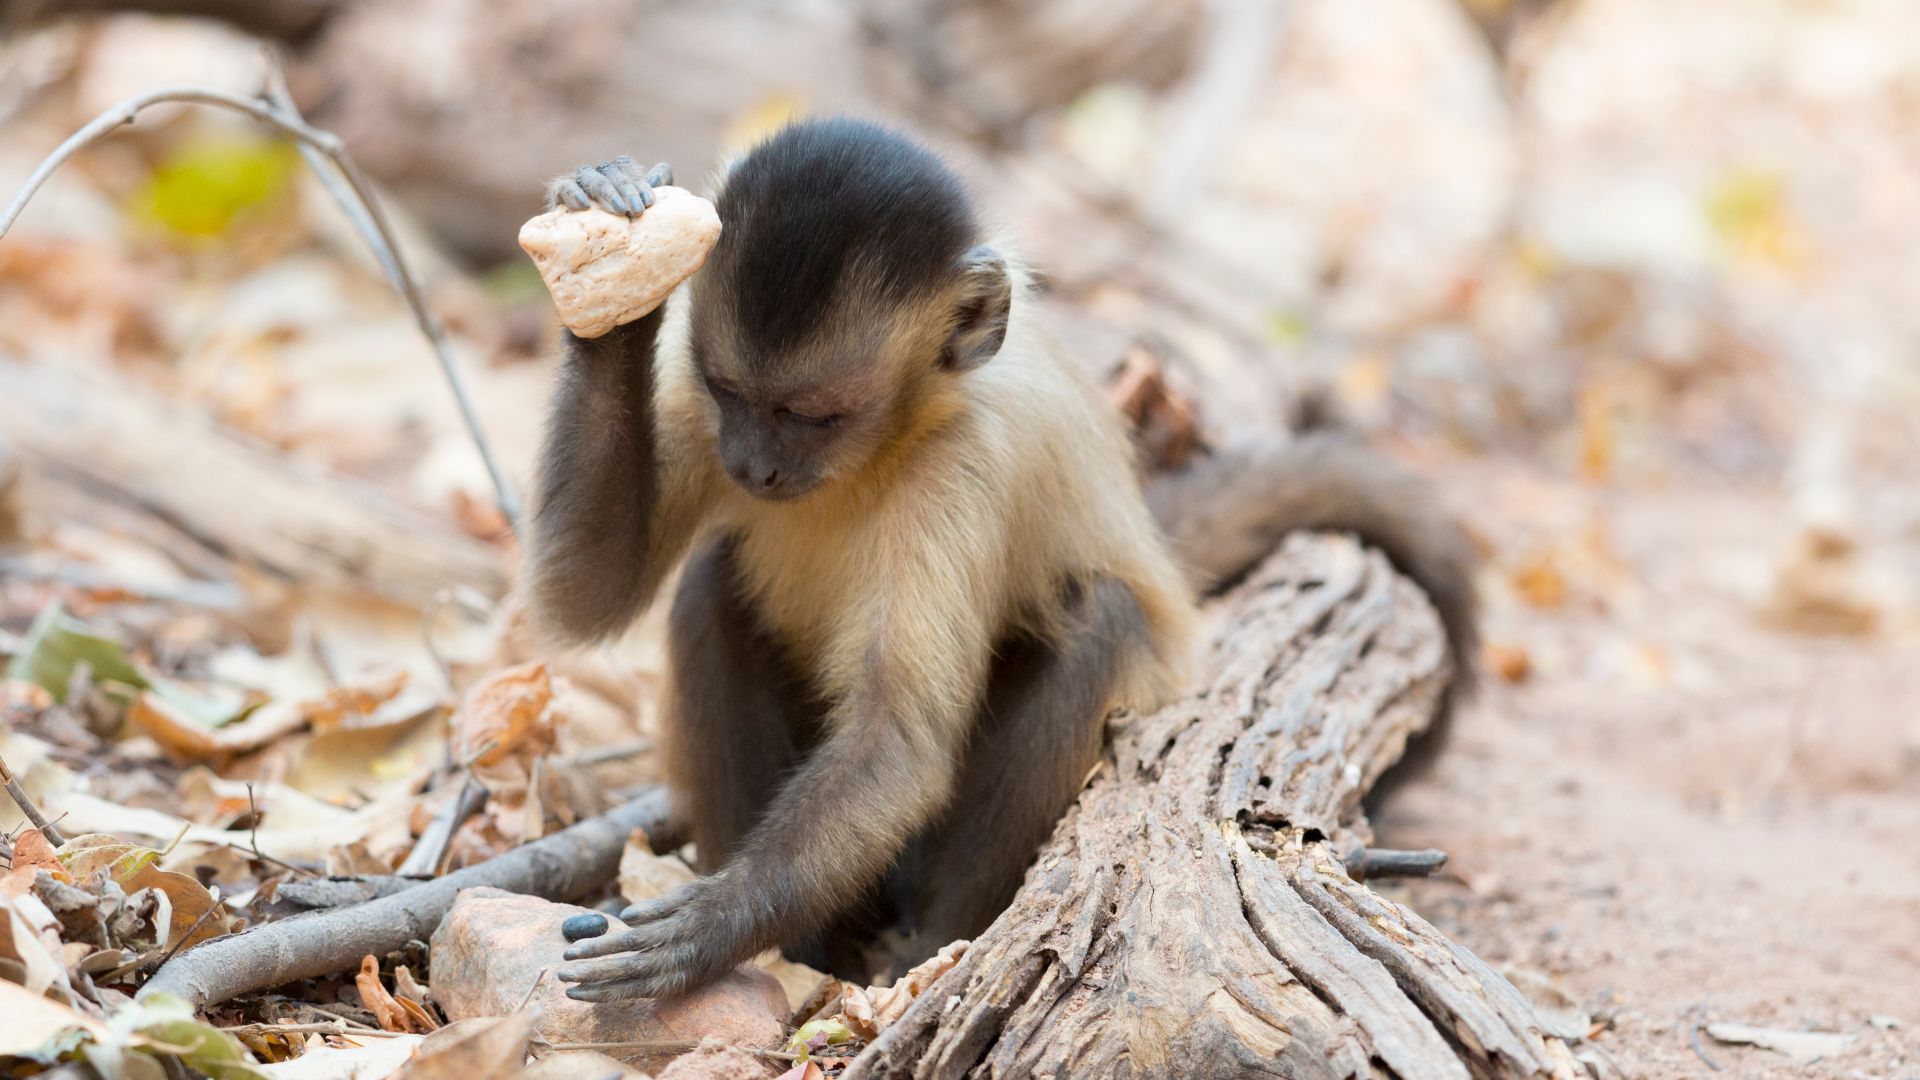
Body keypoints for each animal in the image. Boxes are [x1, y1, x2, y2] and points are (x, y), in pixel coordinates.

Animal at [524, 117, 1476, 1001]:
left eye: (815, 416)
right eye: (732, 393)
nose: (752, 466)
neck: (893, 439)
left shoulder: (964, 465)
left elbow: (899, 742)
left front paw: (711, 927)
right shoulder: (697, 408)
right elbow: (587, 595)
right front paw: (610, 259)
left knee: (1099, 616)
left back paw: (926, 946)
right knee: (711, 587)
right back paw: (812, 952)